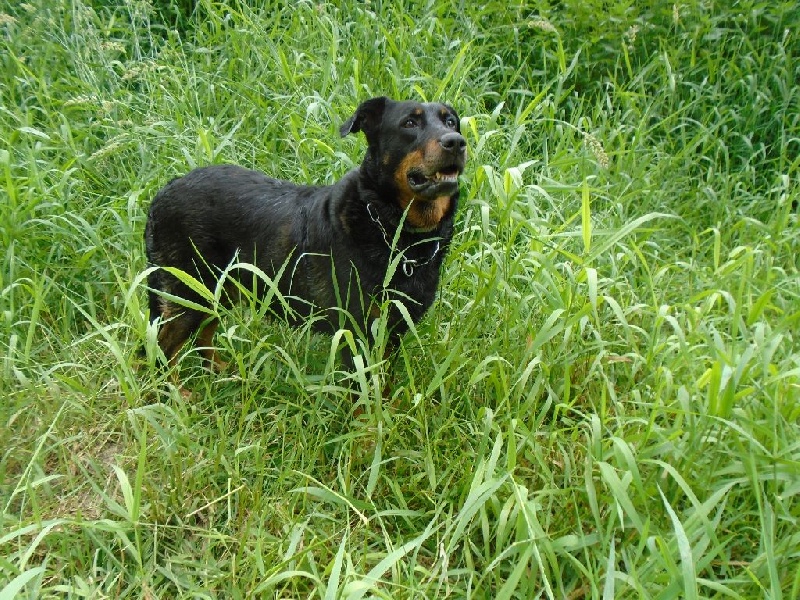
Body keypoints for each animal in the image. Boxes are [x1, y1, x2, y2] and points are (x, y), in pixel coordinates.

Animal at [146, 95, 466, 376]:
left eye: (451, 122)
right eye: (409, 123)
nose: (456, 142)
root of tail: (164, 191)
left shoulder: (393, 330)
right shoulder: (357, 331)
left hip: (219, 290)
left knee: (202, 336)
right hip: (189, 290)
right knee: (163, 346)